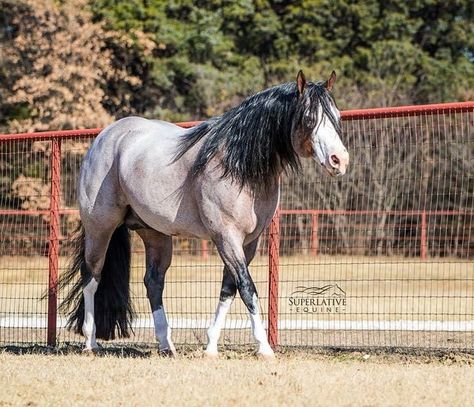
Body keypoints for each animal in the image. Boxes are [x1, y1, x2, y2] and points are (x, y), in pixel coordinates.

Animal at [59, 70, 348, 356]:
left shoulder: (249, 243)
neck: (236, 166)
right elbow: (247, 288)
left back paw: (166, 345)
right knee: (91, 277)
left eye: (337, 116)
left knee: (153, 282)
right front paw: (264, 347)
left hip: (155, 233)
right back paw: (90, 342)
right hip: (100, 229)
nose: (340, 161)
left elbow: (228, 289)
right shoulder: (226, 238)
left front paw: (210, 347)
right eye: (309, 118)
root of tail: (104, 138)